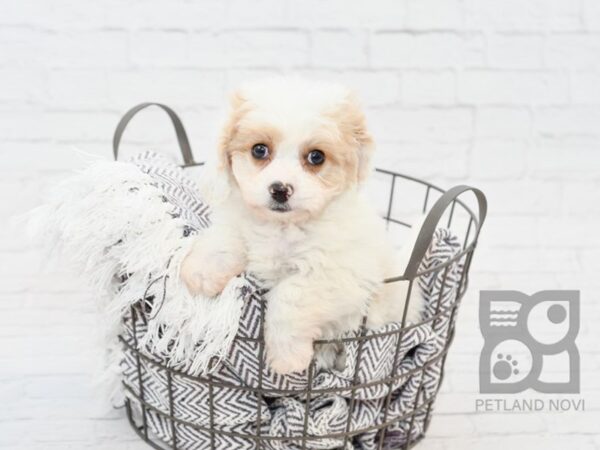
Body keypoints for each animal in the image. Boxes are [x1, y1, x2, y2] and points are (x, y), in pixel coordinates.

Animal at [182, 79, 422, 374]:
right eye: (259, 150)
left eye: (316, 157)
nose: (280, 189)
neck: (282, 227)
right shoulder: (239, 221)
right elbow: (226, 237)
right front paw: (200, 271)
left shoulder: (339, 275)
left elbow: (290, 296)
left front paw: (287, 357)